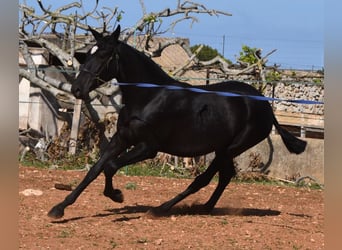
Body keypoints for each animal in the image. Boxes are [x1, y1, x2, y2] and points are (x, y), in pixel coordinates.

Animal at [47, 25, 304, 219]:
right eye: (88, 54)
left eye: (104, 55)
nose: (77, 89)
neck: (149, 96)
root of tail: (266, 107)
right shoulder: (122, 138)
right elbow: (95, 169)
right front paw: (59, 208)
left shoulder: (148, 147)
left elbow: (109, 166)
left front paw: (117, 195)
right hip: (223, 148)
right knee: (224, 176)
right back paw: (205, 207)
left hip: (231, 148)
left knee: (205, 178)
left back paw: (162, 208)